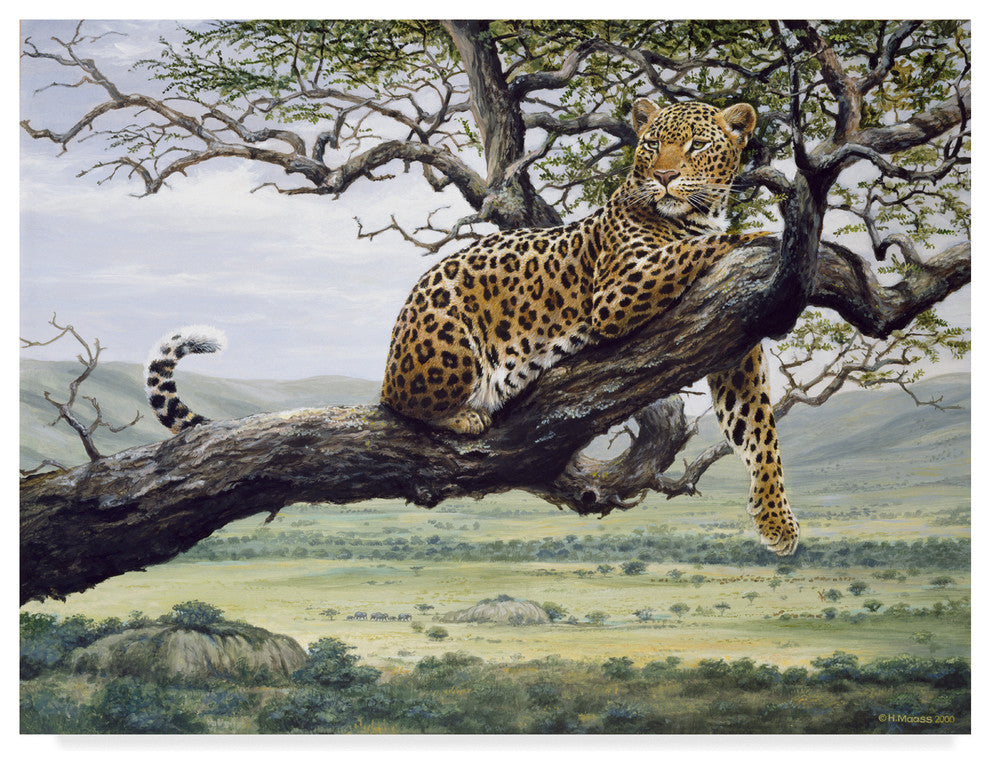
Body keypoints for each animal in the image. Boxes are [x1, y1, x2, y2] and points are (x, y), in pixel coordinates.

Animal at [143, 98, 799, 556]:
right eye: (654, 146)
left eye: (696, 146)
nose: (662, 178)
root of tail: (391, 353)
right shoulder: (617, 291)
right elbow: (695, 249)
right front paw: (759, 233)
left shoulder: (730, 340)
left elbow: (756, 428)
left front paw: (777, 523)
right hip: (451, 343)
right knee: (402, 403)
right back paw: (464, 416)